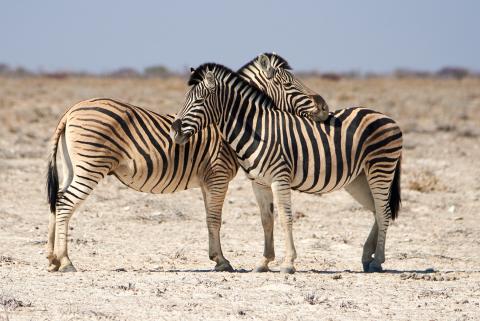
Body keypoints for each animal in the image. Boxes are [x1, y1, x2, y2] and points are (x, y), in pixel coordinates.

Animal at [171, 62, 404, 272]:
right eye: (185, 100)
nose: (174, 131)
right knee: (376, 210)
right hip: (358, 179)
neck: (258, 130)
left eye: (199, 100)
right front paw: (264, 262)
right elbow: (266, 220)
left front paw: (288, 263)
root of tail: (386, 116)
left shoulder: (279, 179)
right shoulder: (259, 183)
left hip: (380, 167)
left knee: (384, 211)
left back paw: (377, 262)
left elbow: (285, 218)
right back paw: (367, 257)